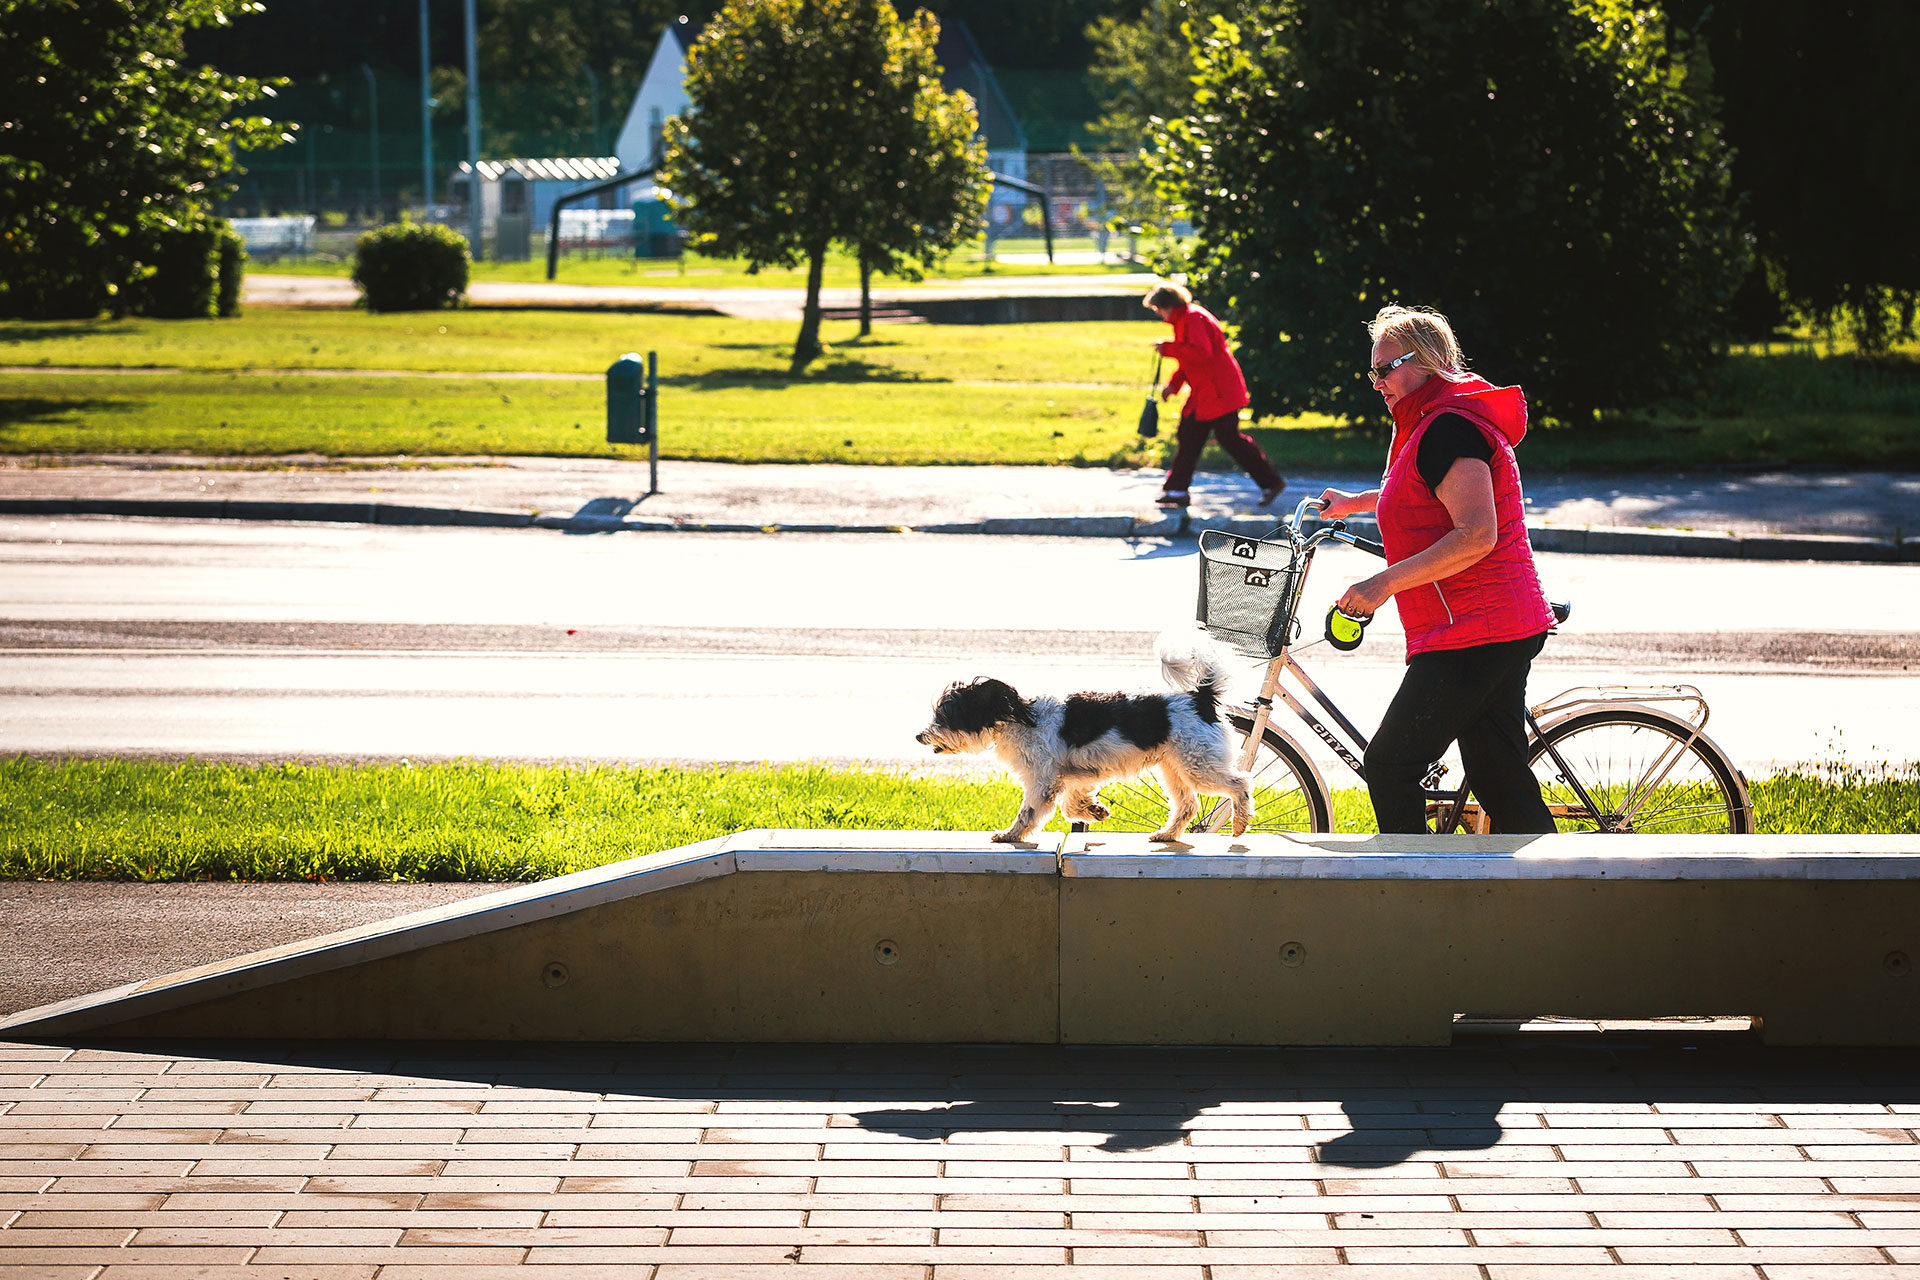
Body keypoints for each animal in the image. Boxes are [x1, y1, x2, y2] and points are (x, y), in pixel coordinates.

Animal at [917, 637, 1259, 840]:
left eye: (945, 716)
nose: (920, 735)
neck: (1020, 718)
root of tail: (1201, 697)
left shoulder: (1042, 780)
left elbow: (1029, 812)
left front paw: (1010, 835)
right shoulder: (1074, 775)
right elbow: (1071, 806)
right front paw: (1094, 811)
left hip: (1199, 766)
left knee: (1240, 783)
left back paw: (1240, 823)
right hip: (1174, 768)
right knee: (1188, 805)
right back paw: (1167, 834)